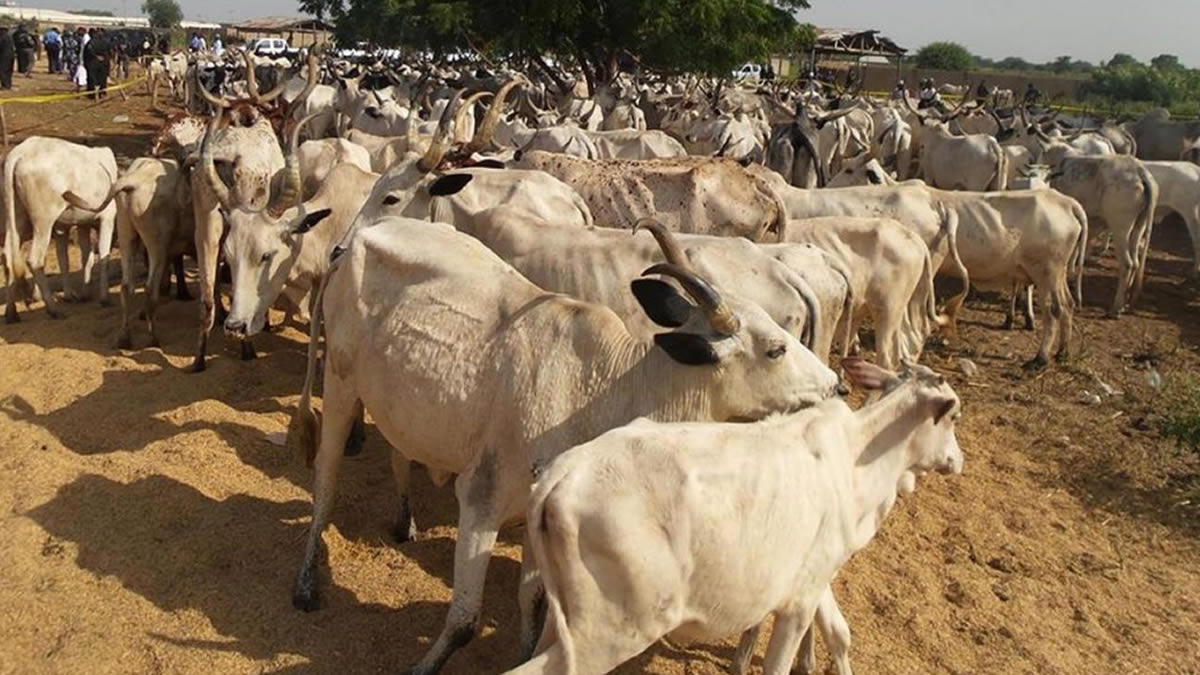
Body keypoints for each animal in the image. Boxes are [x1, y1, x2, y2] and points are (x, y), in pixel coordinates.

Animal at [505, 358, 963, 675]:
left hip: (565, 624)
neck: (858, 460)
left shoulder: (816, 575)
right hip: (608, 635)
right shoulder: (798, 603)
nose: (958, 460)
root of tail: (562, 474)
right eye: (954, 417)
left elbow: (839, 632)